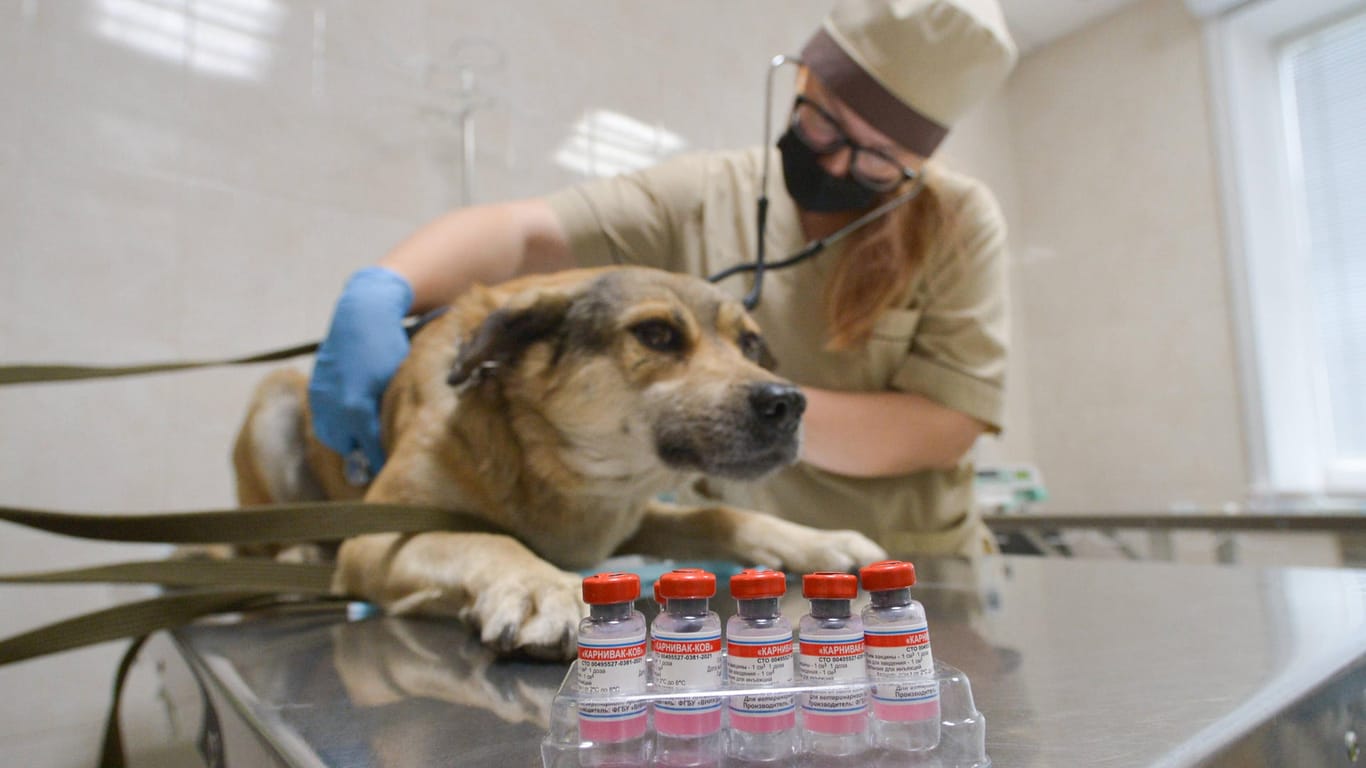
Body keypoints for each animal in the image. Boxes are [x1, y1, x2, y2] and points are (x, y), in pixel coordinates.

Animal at [234, 266, 885, 655]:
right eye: (656, 334)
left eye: (750, 343)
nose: (789, 403)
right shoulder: (376, 539)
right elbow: (486, 540)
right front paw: (540, 587)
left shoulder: (631, 515)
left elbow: (718, 516)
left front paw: (818, 540)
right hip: (275, 399)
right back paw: (296, 554)